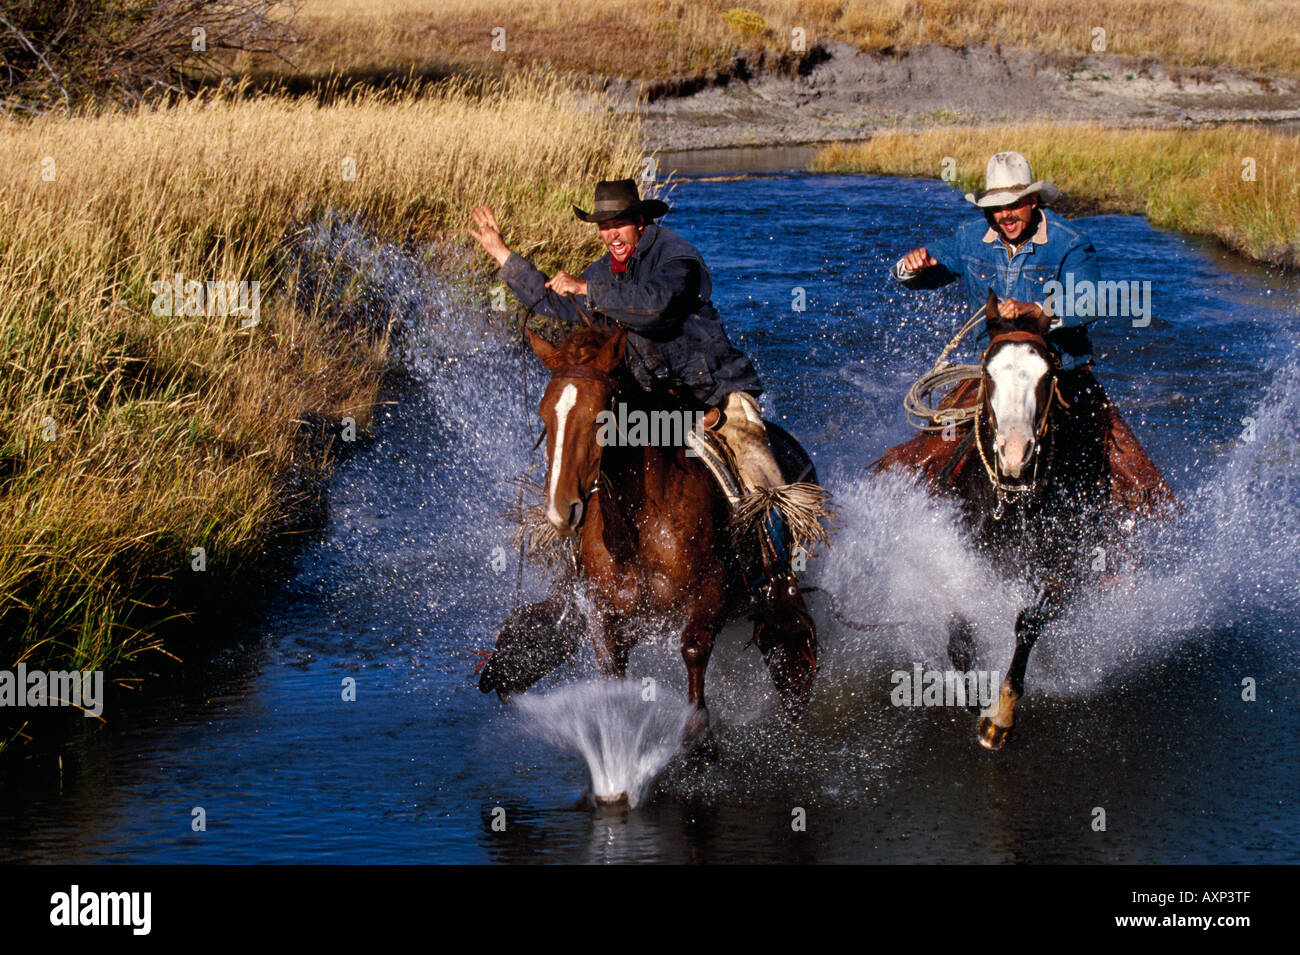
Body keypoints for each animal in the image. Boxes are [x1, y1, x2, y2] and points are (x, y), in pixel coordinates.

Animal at [478, 324, 821, 748]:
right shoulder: (603, 609)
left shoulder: (711, 589)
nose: (561, 509)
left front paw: (699, 739)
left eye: (600, 415)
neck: (640, 530)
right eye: (545, 412)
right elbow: (610, 665)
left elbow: (693, 647)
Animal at [873, 289, 1170, 748]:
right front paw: (974, 692)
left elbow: (1029, 624)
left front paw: (1000, 718)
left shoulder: (1070, 568)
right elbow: (960, 625)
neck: (1013, 505)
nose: (1015, 453)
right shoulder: (957, 557)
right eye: (989, 372)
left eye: (1048, 374)